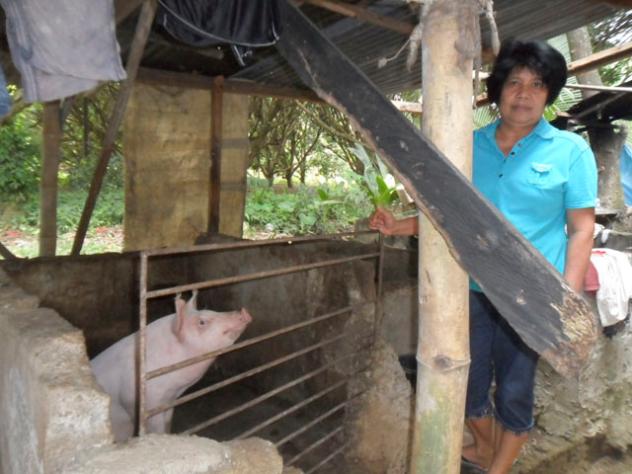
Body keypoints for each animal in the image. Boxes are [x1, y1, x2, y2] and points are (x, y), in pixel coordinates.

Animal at [90, 290, 252, 442]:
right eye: (202, 322)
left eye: (212, 310)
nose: (243, 311)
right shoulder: (144, 402)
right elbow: (156, 428)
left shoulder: (169, 401)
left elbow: (167, 423)